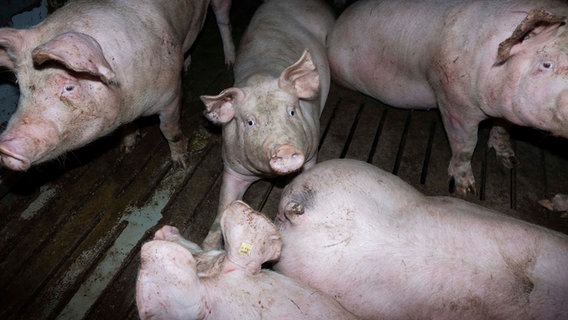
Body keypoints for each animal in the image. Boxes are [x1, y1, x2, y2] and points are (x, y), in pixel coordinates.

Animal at [0, 0, 235, 171]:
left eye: (69, 87)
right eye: (20, 85)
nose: (4, 146)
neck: (129, 102)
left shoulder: (171, 95)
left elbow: (169, 131)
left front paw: (181, 164)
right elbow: (126, 129)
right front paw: (127, 147)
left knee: (223, 20)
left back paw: (229, 62)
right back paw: (186, 65)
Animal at [200, 0, 336, 250]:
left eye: (292, 111)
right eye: (250, 122)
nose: (285, 148)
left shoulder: (311, 152)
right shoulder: (232, 167)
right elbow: (224, 204)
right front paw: (208, 246)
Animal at [326, 0, 568, 196]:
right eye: (546, 64)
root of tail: (336, 26)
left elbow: (503, 128)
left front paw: (510, 161)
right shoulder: (453, 100)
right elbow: (466, 144)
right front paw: (467, 190)